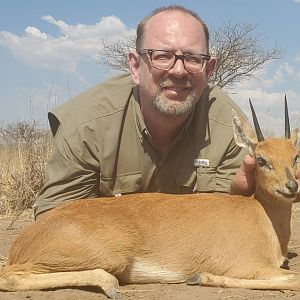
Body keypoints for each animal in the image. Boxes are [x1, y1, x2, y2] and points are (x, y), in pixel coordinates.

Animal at [0, 99, 300, 300]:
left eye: (295, 156)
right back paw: (110, 285)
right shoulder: (245, 265)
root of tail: (24, 240)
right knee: (9, 277)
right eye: (261, 159)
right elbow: (294, 279)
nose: (291, 187)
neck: (261, 216)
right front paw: (201, 276)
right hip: (107, 256)